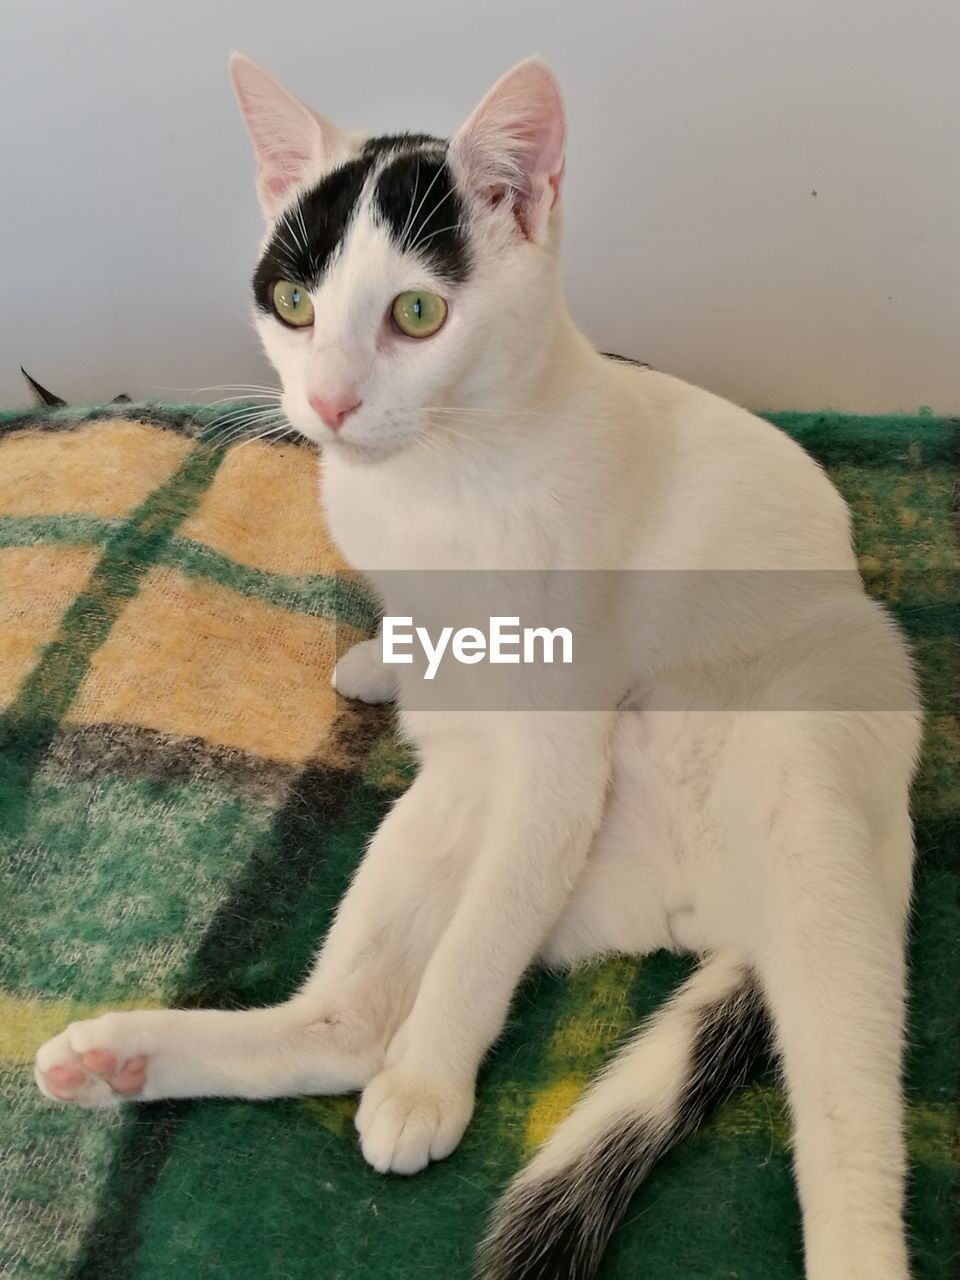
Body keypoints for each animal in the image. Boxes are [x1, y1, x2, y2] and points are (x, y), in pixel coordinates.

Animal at [35, 52, 926, 1280]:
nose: (327, 403)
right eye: (296, 305)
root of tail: (704, 904)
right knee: (346, 1023)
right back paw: (128, 1058)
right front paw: (385, 661)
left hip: (803, 794)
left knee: (845, 1114)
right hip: (452, 806)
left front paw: (428, 1083)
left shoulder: (558, 749)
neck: (440, 477)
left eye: (417, 313)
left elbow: (476, 948)